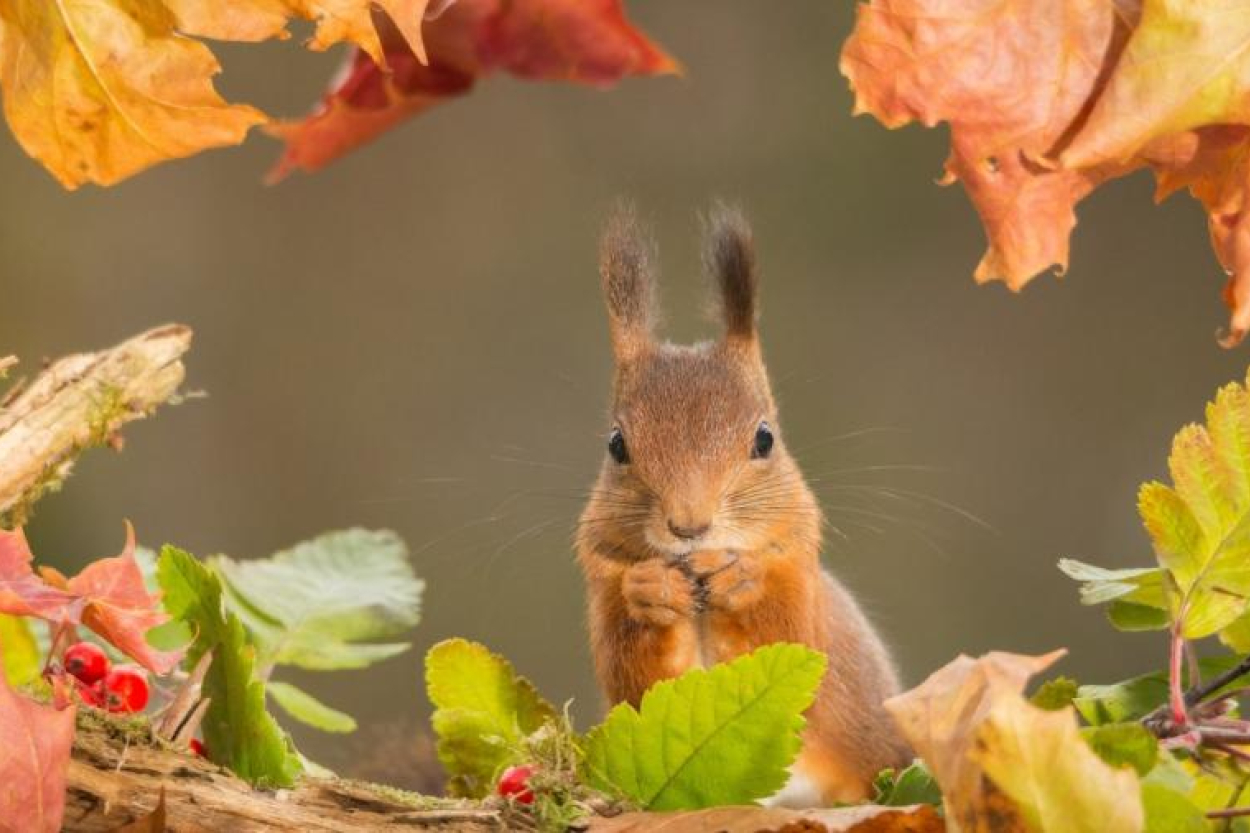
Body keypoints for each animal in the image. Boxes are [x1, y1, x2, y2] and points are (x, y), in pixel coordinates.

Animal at [575, 203, 910, 800]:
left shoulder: (800, 582)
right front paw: (649, 589)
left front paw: (742, 578)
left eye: (764, 439)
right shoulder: (604, 592)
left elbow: (790, 640)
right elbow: (639, 684)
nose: (689, 526)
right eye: (617, 445)